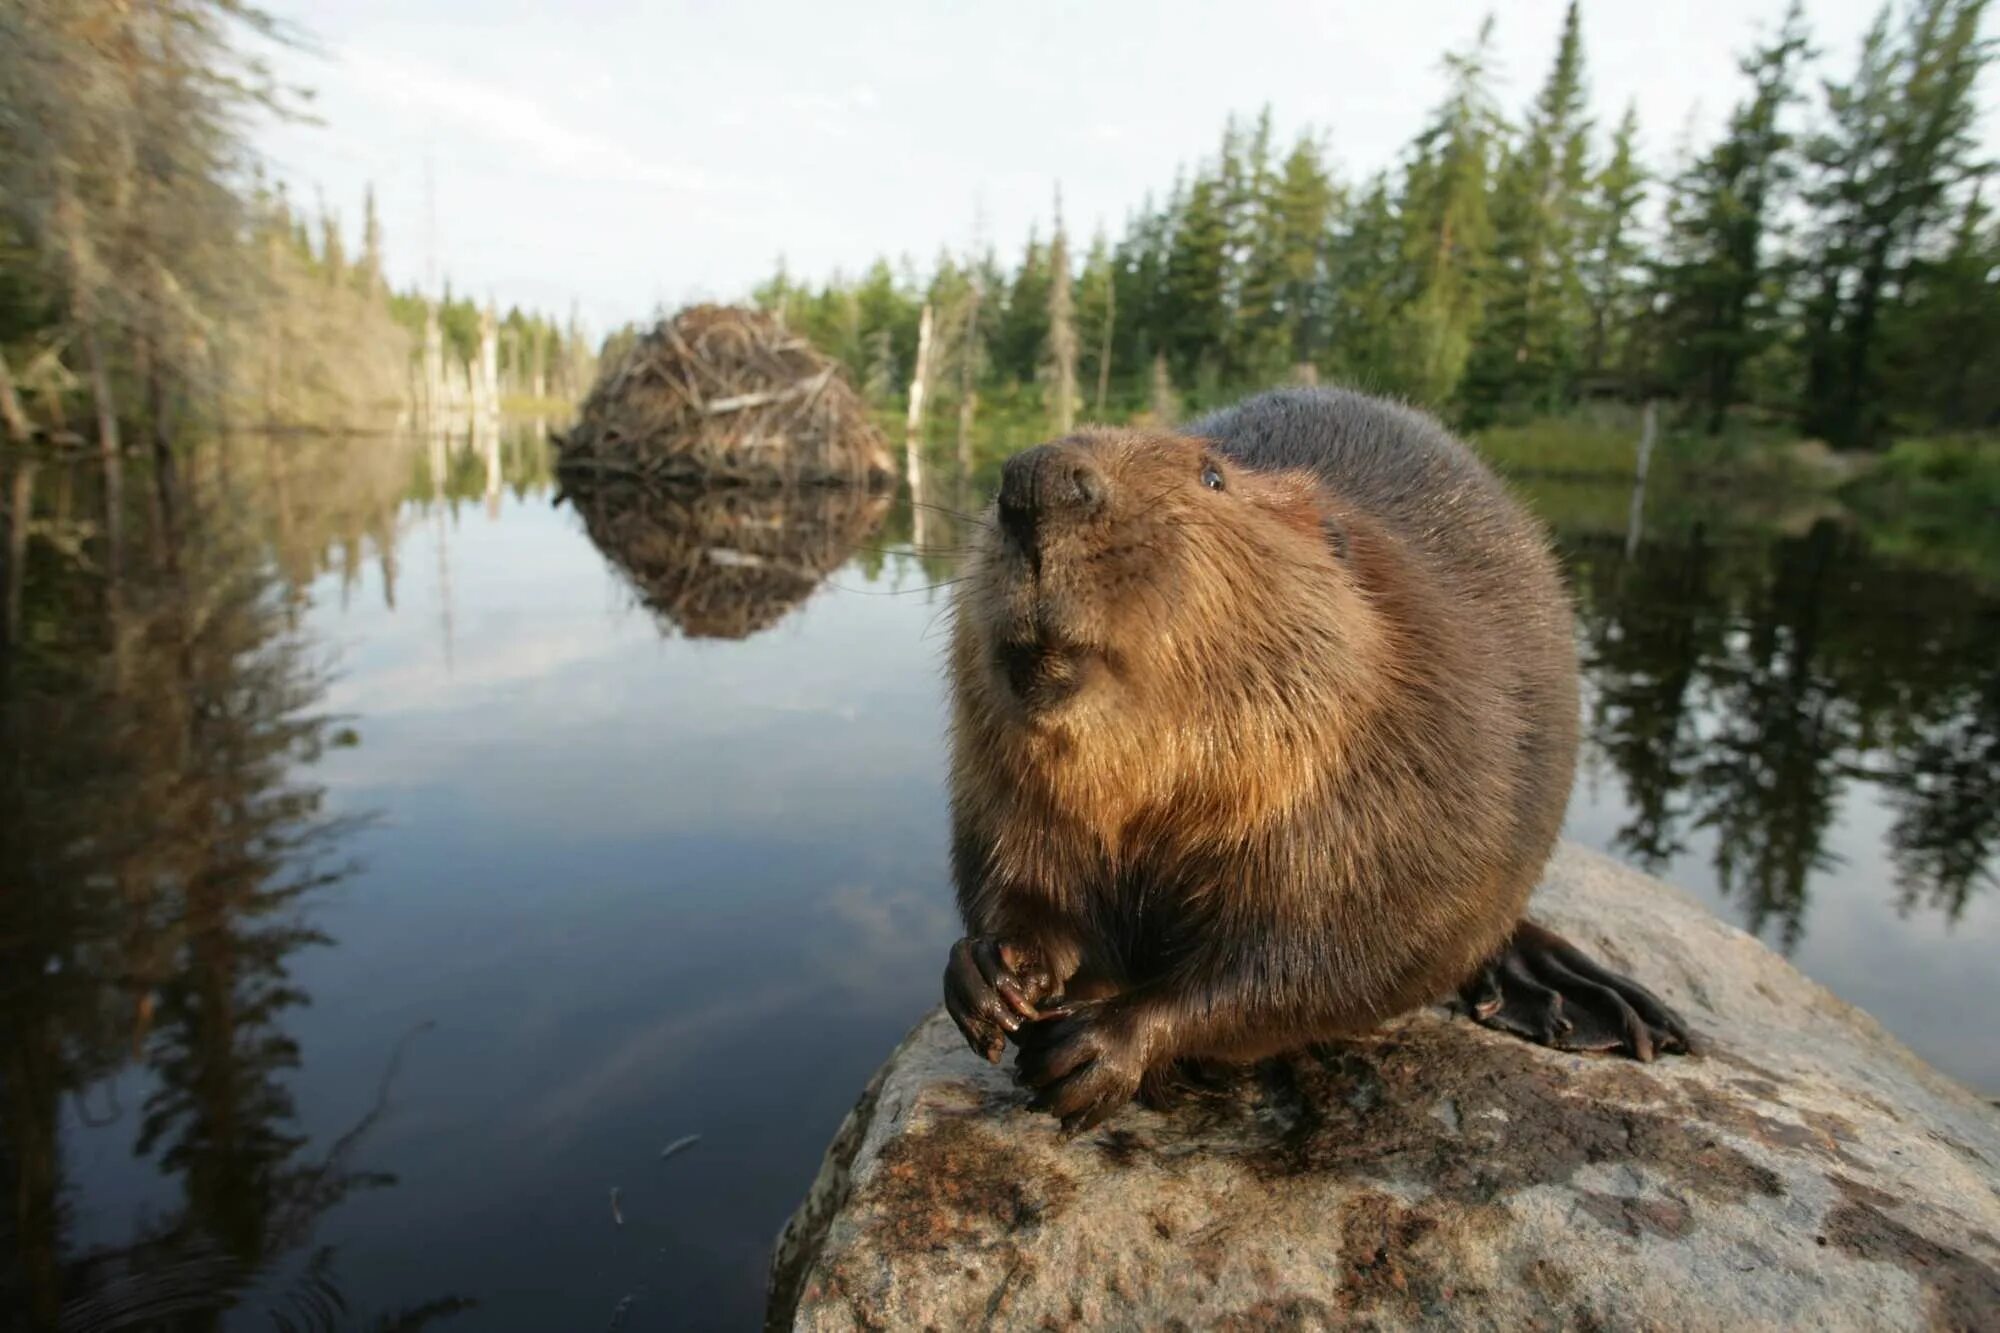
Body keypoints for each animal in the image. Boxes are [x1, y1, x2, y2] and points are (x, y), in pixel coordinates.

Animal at [944, 386, 1696, 1128]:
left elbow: (1330, 957)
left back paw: (1590, 1001)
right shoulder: (1001, 780)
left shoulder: (1408, 776)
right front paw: (989, 973)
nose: (1036, 480)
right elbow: (1017, 875)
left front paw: (1102, 1049)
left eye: (1212, 476)